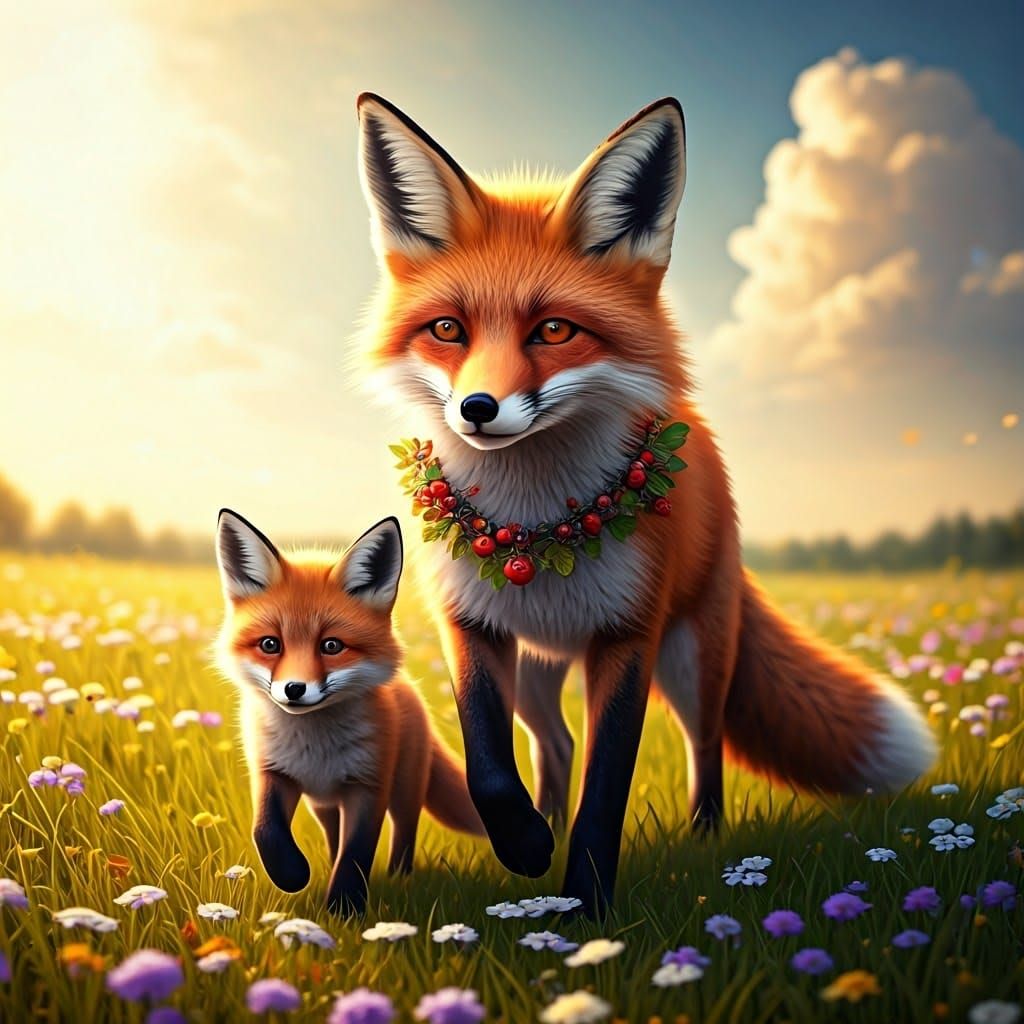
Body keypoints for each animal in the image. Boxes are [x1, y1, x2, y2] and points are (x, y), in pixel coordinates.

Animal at [215, 508, 483, 914]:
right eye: (270, 644)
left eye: (331, 646)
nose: (294, 689)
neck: (314, 748)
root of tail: (410, 689)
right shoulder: (272, 773)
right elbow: (264, 830)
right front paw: (293, 875)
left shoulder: (368, 785)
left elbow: (357, 850)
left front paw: (344, 908)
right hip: (323, 804)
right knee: (332, 835)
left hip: (404, 788)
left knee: (404, 830)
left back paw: (399, 877)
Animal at [353, 94, 937, 915]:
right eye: (447, 330)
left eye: (554, 330)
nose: (477, 409)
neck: (539, 524)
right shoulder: (470, 626)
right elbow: (490, 769)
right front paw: (526, 846)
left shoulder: (628, 637)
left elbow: (606, 789)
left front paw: (587, 905)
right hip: (537, 674)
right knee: (555, 745)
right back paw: (546, 823)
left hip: (693, 657)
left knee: (705, 744)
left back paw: (703, 837)